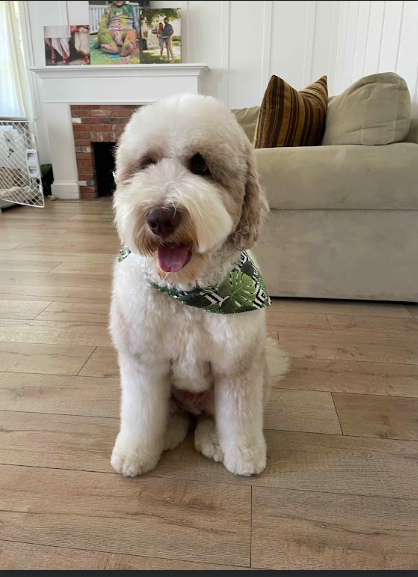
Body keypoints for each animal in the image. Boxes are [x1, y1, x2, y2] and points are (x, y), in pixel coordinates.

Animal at [109, 94, 290, 476]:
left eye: (200, 165)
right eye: (147, 163)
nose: (160, 217)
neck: (188, 294)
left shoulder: (236, 368)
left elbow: (240, 419)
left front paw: (245, 456)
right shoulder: (144, 363)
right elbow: (140, 415)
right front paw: (135, 454)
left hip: (255, 375)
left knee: (209, 418)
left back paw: (214, 440)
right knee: (173, 415)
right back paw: (167, 434)